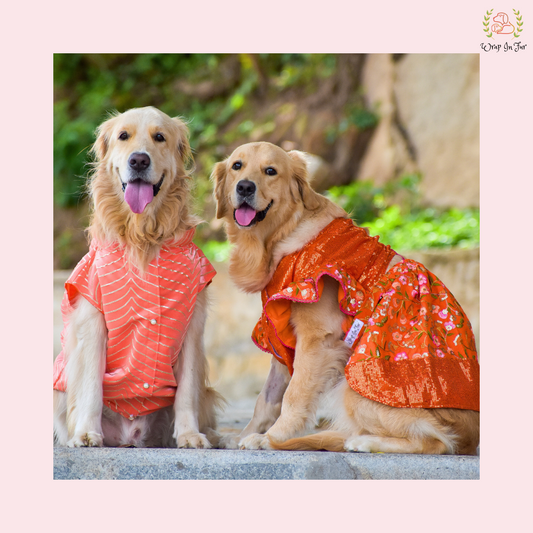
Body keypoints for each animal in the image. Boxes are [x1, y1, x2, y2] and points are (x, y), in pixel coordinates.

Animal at [52, 106, 222, 446]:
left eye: (160, 137)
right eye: (123, 136)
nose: (139, 161)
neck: (142, 236)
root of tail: (129, 437)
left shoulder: (192, 325)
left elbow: (186, 391)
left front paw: (189, 435)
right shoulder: (92, 319)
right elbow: (90, 385)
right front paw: (87, 433)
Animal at [211, 141, 478, 454]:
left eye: (271, 171)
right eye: (236, 166)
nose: (244, 187)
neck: (282, 235)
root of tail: (472, 437)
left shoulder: (317, 340)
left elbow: (293, 396)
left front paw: (272, 438)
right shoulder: (283, 334)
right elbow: (266, 399)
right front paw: (247, 435)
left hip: (356, 386)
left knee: (435, 442)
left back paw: (363, 441)